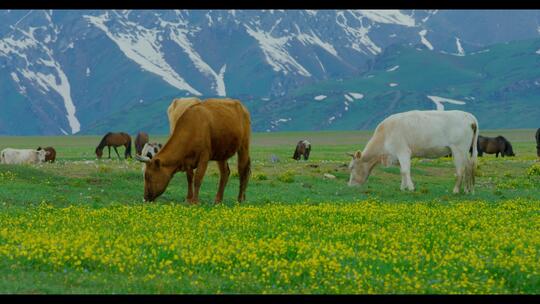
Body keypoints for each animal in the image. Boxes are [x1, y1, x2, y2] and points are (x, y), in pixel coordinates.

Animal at [348, 110, 478, 194]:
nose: (349, 185)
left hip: (458, 149)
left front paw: (410, 188)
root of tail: (470, 117)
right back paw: (469, 190)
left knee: (461, 170)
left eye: (351, 167)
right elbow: (402, 171)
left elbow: (405, 171)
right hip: (466, 150)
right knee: (469, 167)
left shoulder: (403, 151)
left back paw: (456, 190)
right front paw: (403, 188)